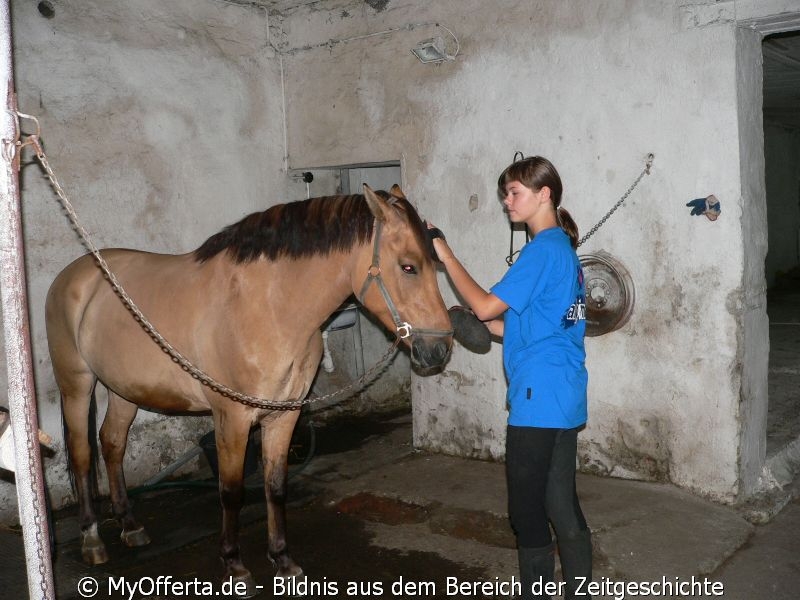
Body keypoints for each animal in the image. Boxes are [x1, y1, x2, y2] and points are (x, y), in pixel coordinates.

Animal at [47, 184, 454, 596]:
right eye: (408, 266)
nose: (440, 348)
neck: (267, 309)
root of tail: (75, 274)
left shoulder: (284, 416)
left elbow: (276, 486)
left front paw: (283, 561)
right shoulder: (233, 418)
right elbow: (231, 492)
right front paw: (234, 564)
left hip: (124, 390)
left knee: (112, 443)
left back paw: (130, 526)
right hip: (76, 385)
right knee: (82, 454)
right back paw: (92, 540)